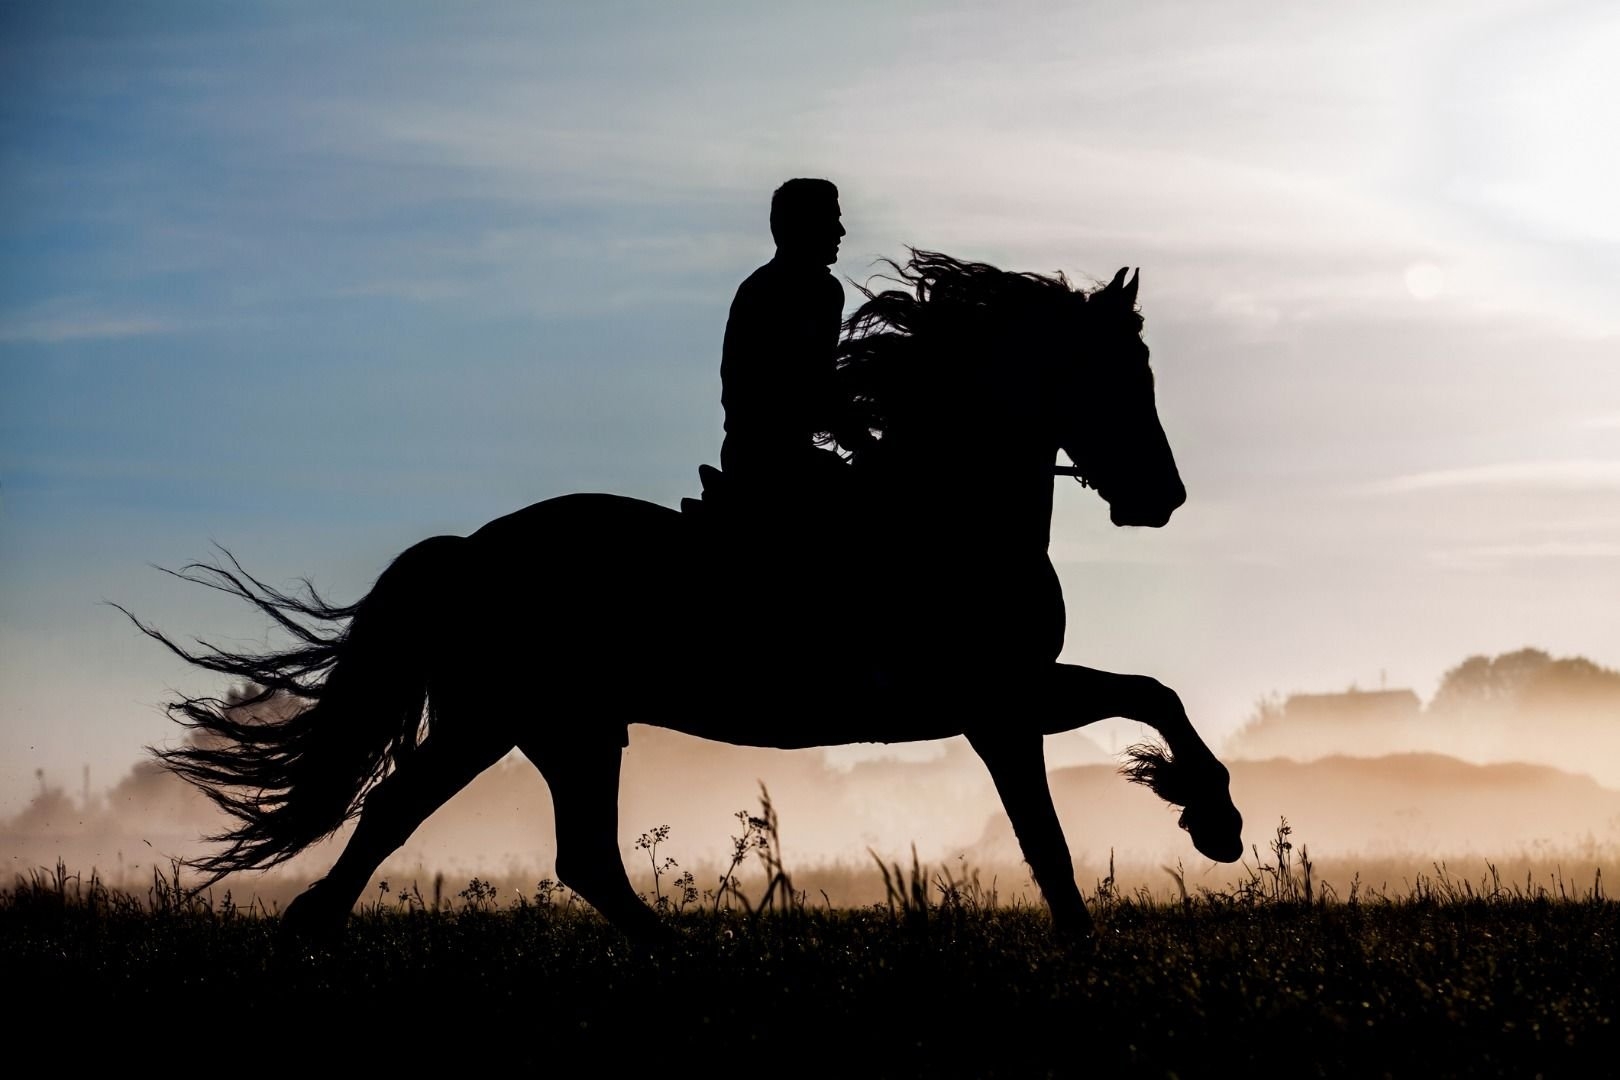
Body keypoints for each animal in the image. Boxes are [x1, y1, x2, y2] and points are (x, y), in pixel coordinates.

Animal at [126, 249, 1244, 939]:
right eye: (1124, 373)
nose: (1163, 499)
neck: (944, 507)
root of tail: (471, 552)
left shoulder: (1007, 699)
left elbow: (1140, 712)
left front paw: (1201, 822)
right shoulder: (997, 702)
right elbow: (1067, 814)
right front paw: (1203, 831)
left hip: (562, 727)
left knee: (571, 854)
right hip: (507, 719)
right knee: (418, 819)